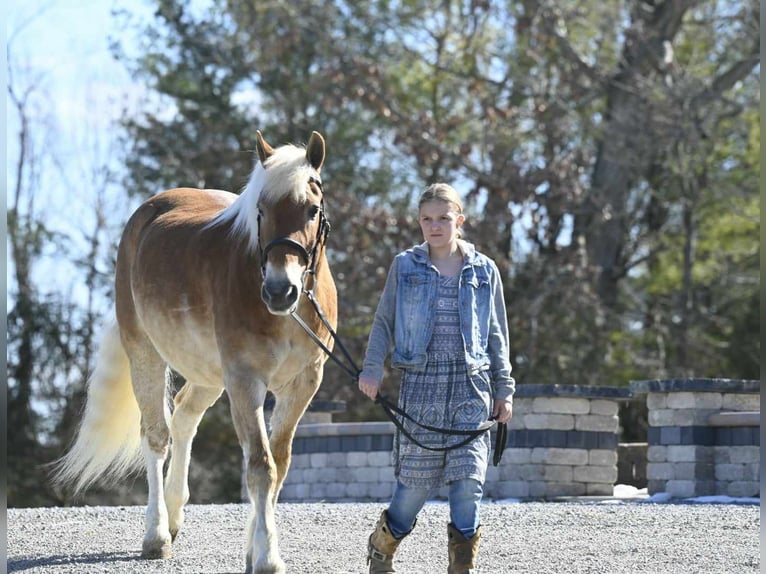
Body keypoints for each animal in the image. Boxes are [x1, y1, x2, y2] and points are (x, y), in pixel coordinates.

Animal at [54, 132, 340, 574]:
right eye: (261, 210)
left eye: (312, 210)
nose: (280, 291)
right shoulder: (245, 380)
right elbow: (260, 467)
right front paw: (267, 557)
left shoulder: (303, 383)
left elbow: (279, 463)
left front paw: (254, 549)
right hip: (146, 354)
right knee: (156, 436)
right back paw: (156, 536)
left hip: (208, 374)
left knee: (185, 416)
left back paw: (173, 516)